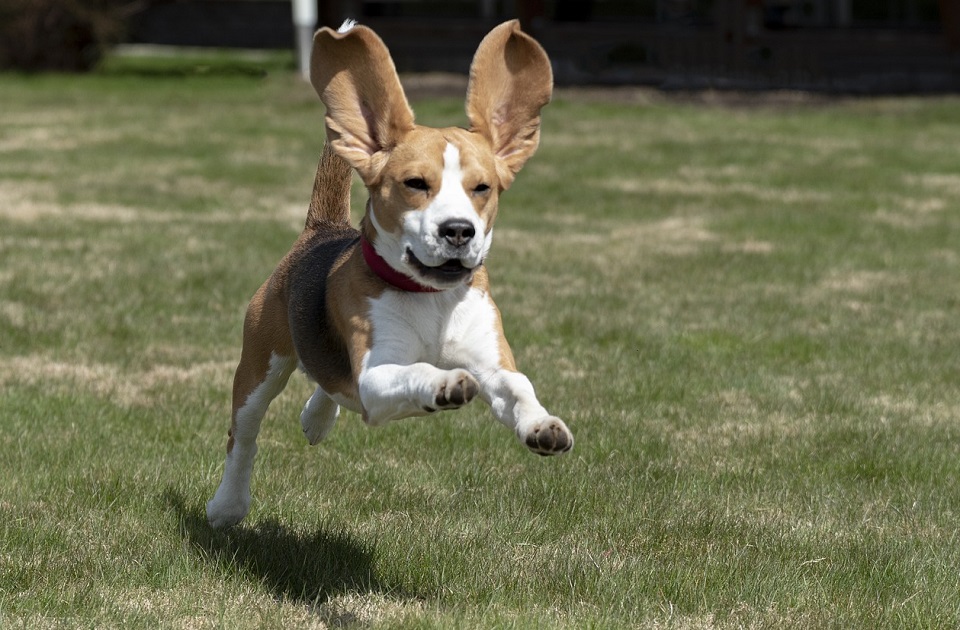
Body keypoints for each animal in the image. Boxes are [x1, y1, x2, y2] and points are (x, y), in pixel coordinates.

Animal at [207, 19, 572, 532]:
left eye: (482, 188)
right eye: (415, 184)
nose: (458, 230)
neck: (431, 298)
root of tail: (322, 229)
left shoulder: (491, 361)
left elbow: (518, 387)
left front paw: (542, 426)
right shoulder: (378, 377)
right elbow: (416, 370)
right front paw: (445, 383)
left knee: (330, 384)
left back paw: (316, 419)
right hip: (260, 363)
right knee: (243, 436)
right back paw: (227, 505)